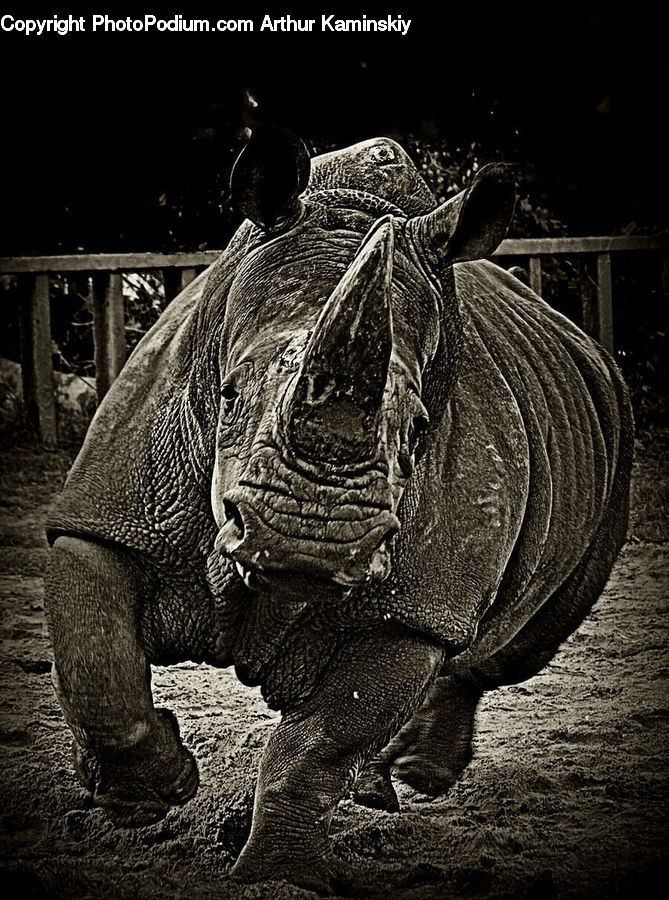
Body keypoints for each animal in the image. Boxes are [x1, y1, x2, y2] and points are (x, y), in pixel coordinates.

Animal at [45, 131, 634, 892]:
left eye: (419, 431)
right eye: (228, 394)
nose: (308, 543)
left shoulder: (411, 610)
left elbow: (320, 744)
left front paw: (279, 879)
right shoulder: (111, 514)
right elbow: (96, 665)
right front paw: (151, 795)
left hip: (614, 452)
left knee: (508, 645)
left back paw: (411, 778)